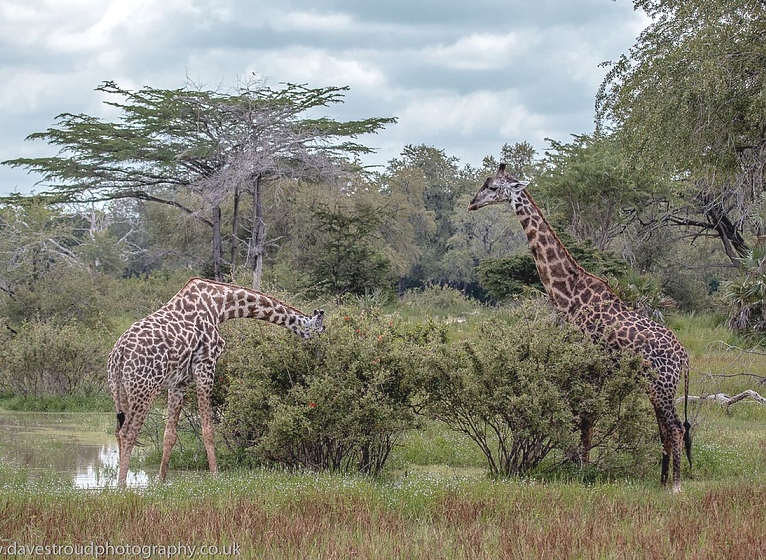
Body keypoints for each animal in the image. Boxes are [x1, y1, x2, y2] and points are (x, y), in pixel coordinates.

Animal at [107, 277, 324, 487]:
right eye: (322, 329)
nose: (321, 352)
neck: (220, 306)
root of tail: (118, 355)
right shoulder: (206, 365)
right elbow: (208, 430)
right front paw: (215, 478)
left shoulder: (180, 381)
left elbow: (169, 434)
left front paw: (160, 483)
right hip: (144, 389)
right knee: (128, 433)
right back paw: (121, 488)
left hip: (119, 391)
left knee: (118, 432)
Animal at [468, 164, 691, 492]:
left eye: (494, 187)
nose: (472, 203)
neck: (568, 293)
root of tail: (684, 358)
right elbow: (586, 419)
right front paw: (582, 467)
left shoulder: (585, 362)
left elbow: (585, 419)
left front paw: (583, 470)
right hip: (655, 385)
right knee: (665, 426)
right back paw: (662, 481)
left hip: (662, 383)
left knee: (675, 426)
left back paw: (675, 485)